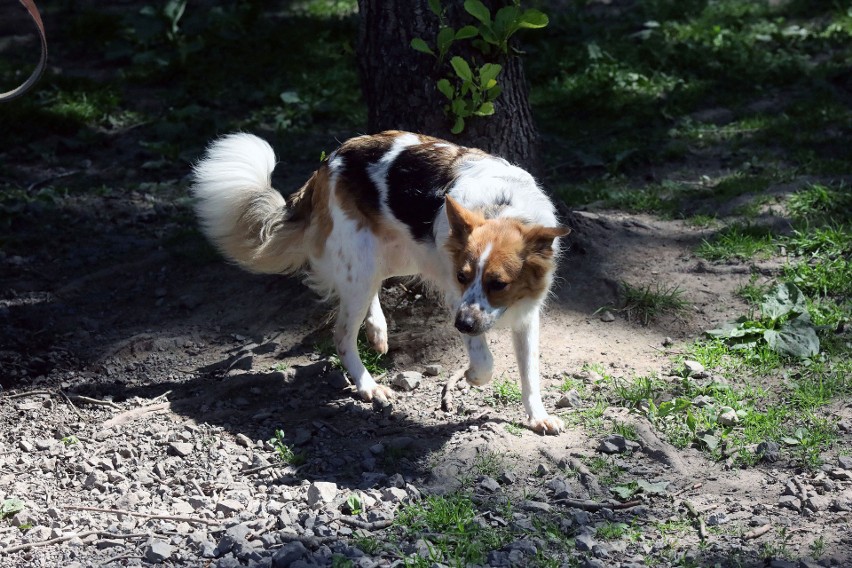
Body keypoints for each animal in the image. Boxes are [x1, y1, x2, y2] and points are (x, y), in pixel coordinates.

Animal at [190, 131, 568, 432]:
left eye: (499, 283)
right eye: (462, 276)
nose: (460, 325)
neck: (502, 208)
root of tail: (328, 164)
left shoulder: (526, 315)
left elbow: (530, 372)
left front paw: (537, 416)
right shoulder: (455, 296)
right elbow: (485, 360)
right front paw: (473, 376)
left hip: (397, 256)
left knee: (371, 292)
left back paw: (377, 329)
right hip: (364, 264)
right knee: (343, 335)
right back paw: (367, 384)